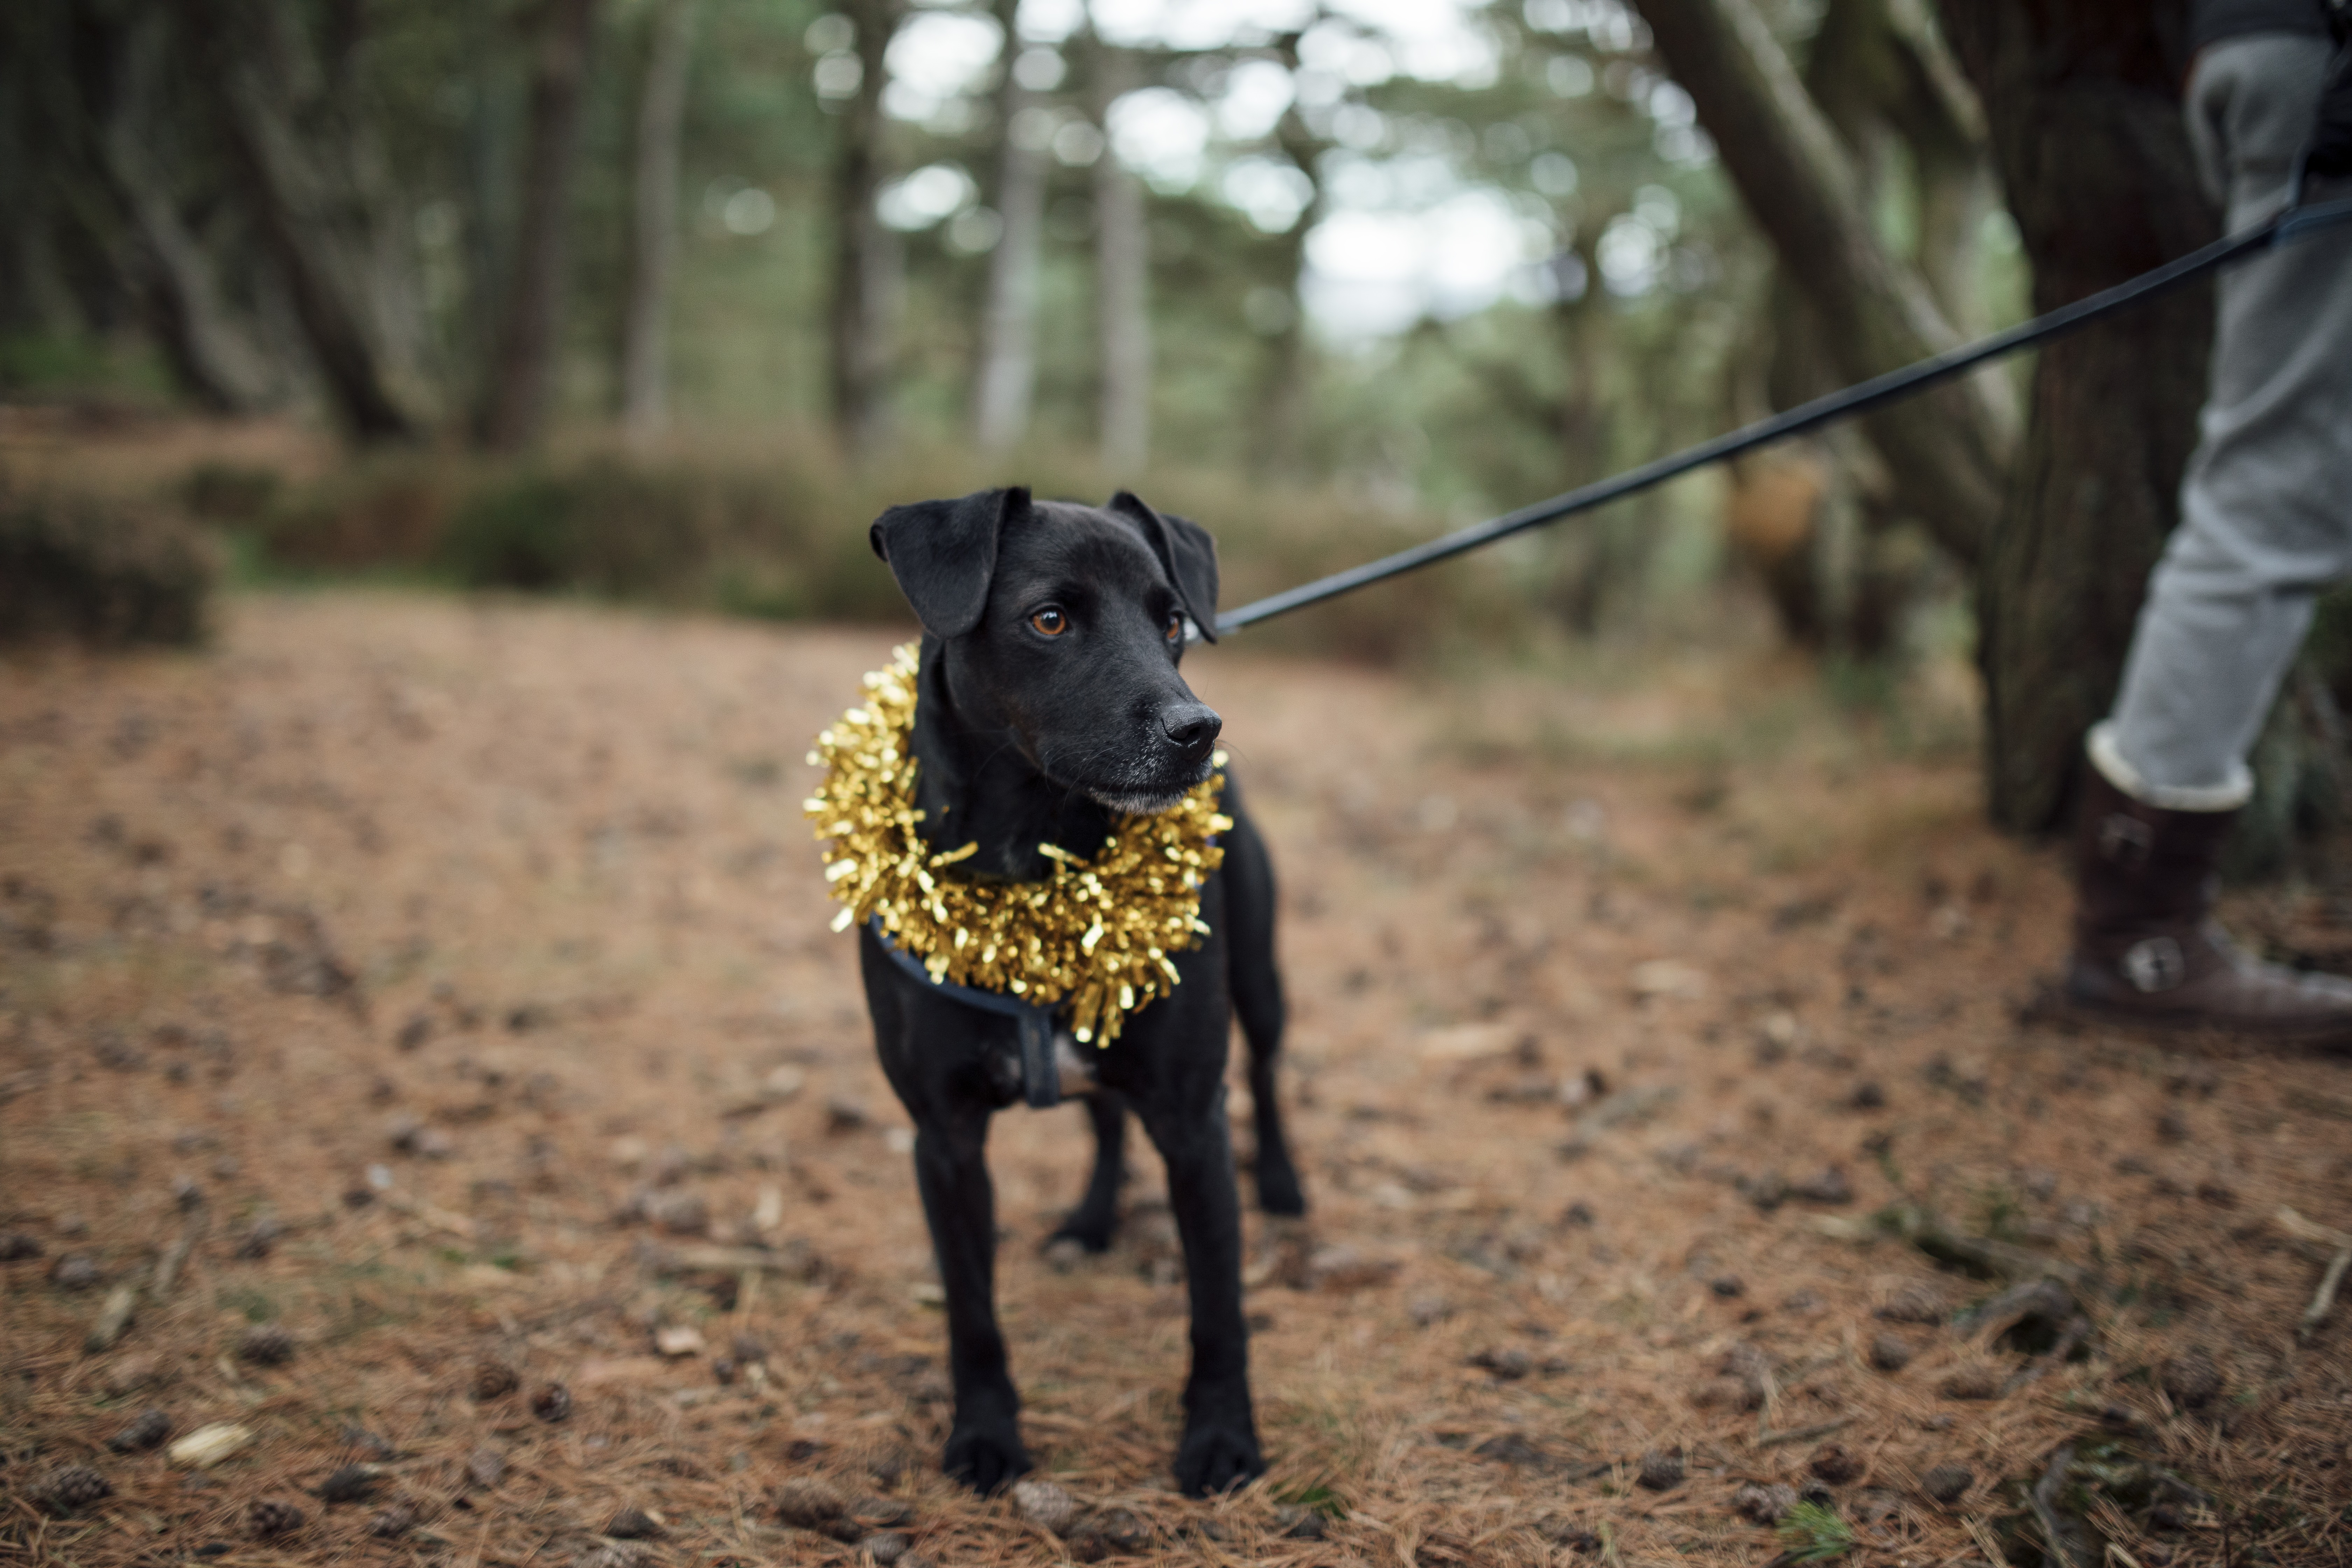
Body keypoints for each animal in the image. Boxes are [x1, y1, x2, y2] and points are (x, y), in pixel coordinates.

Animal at [865, 486, 1308, 1495]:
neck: (1033, 857)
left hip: (1260, 980)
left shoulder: (1193, 1122)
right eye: (1049, 619)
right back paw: (1091, 1222)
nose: (1198, 730)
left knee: (1267, 1073)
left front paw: (1223, 1439)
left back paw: (1284, 1182)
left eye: (1173, 620)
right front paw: (985, 1435)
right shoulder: (943, 1139)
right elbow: (972, 1311)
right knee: (1104, 1116)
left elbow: (1218, 1307)